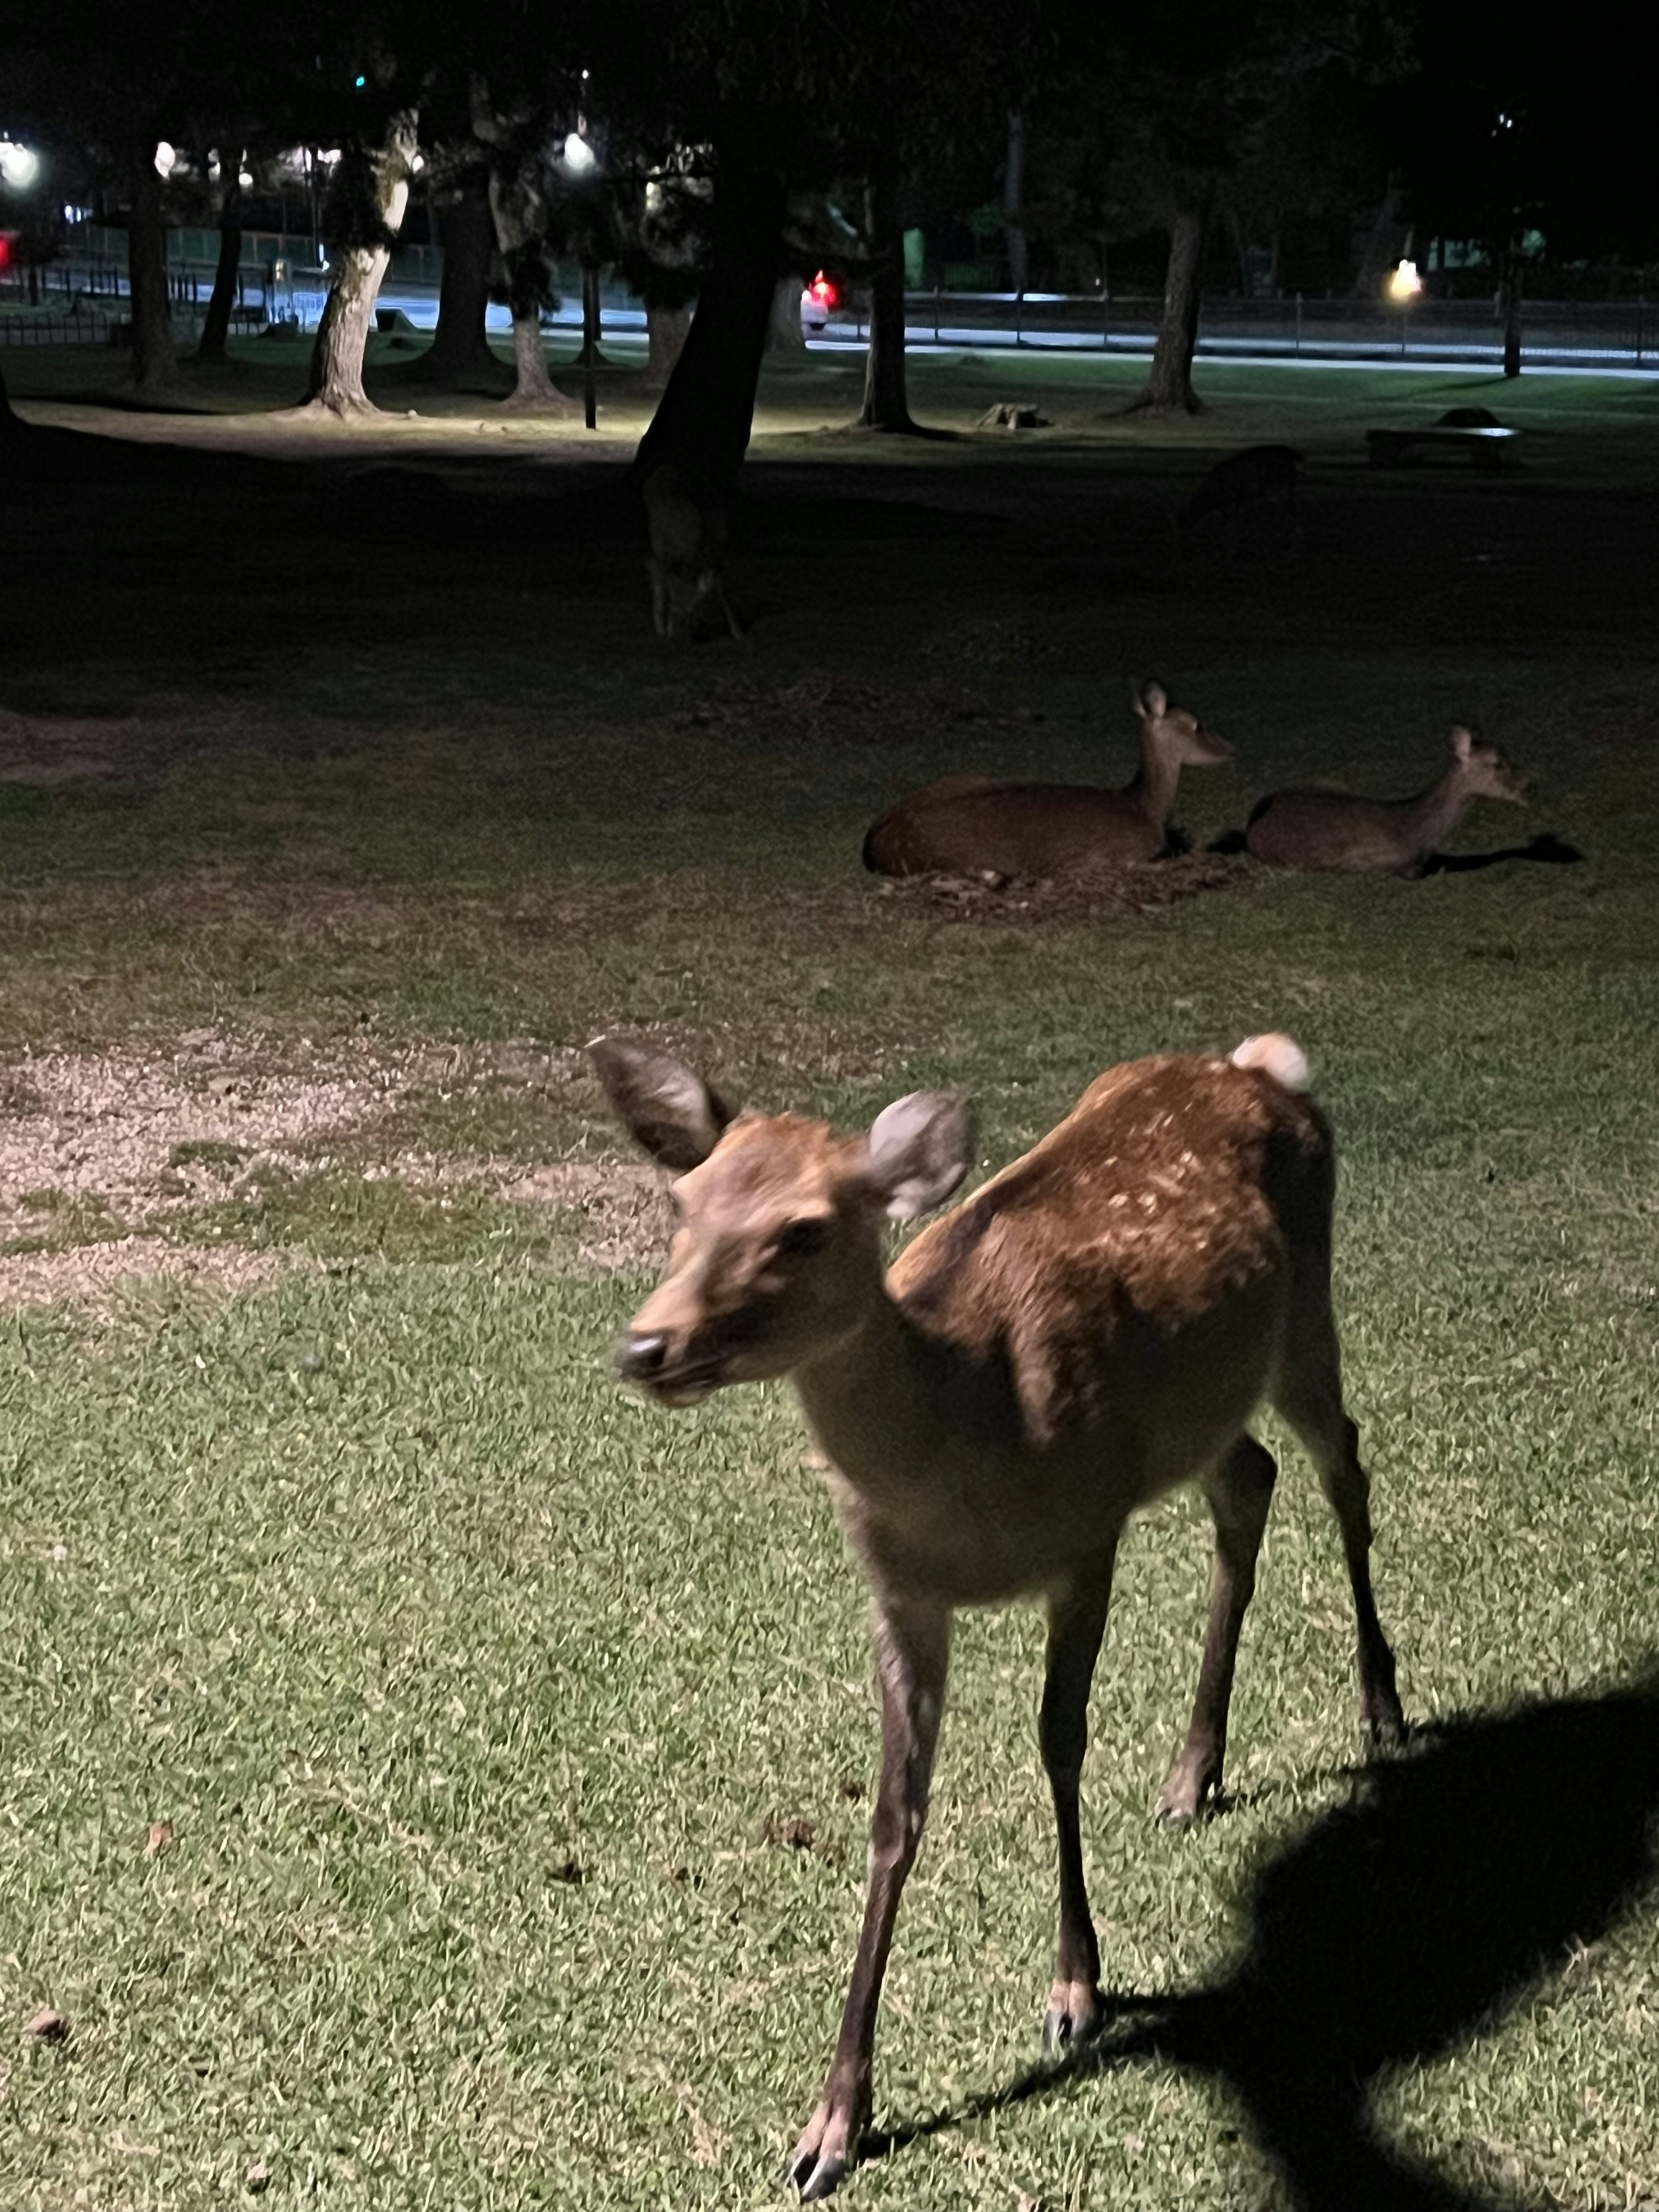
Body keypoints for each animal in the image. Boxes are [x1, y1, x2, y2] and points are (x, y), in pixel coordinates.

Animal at [593, 1022, 1407, 2194]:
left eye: (802, 1230)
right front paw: (830, 2126)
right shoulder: (899, 1594)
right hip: (1200, 1409)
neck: (976, 1425)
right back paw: (1191, 1773)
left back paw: (1382, 1705)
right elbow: (894, 1814)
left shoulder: (1087, 1533)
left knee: (1344, 1460)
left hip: (1306, 1310)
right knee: (1249, 1481)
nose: (647, 1346)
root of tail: (1265, 1069)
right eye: (682, 1202)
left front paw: (1077, 1989)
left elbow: (1059, 1738)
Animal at [641, 458, 743, 641]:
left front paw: (738, 632)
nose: (675, 639)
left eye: (693, 612)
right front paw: (662, 629)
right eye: (675, 612)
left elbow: (721, 591)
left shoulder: (717, 556)